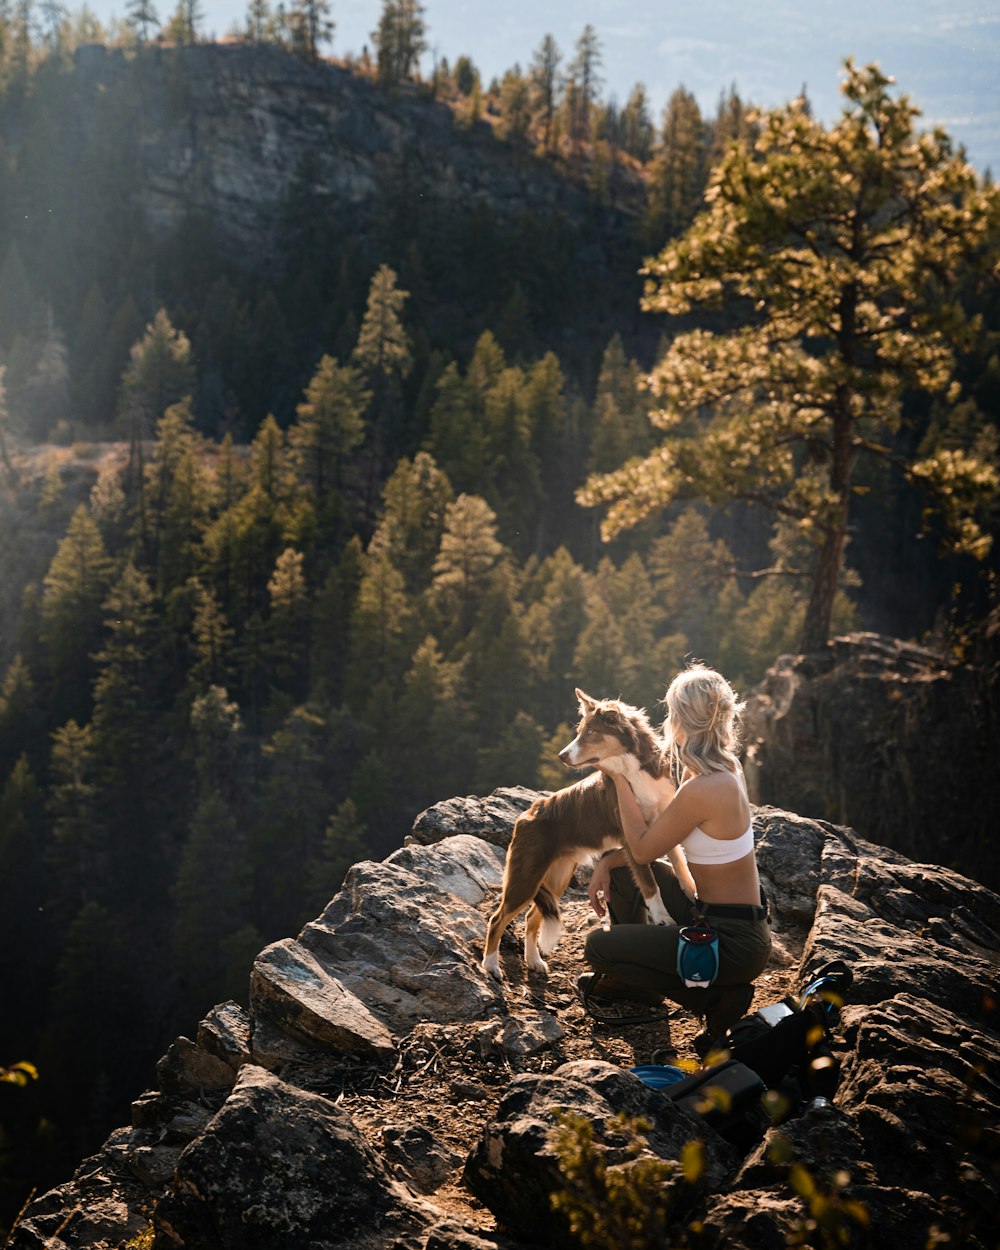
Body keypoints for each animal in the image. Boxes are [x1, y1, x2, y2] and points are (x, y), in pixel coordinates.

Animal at [482, 690, 700, 980]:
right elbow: (650, 884)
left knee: (531, 917)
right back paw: (491, 965)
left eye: (590, 733)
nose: (561, 756)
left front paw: (690, 887)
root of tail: (526, 814)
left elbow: (678, 857)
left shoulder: (663, 819)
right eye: (579, 732)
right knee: (498, 918)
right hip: (526, 877)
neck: (632, 769)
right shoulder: (633, 840)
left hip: (555, 879)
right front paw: (662, 917)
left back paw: (534, 961)